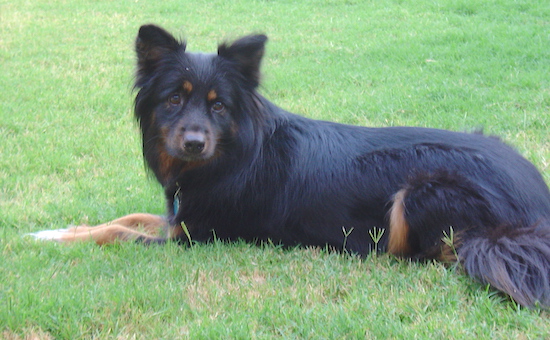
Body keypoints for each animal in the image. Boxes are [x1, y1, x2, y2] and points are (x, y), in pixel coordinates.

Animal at [31, 24, 550, 308]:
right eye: (174, 99)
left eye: (218, 106)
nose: (194, 143)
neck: (232, 155)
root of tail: (536, 202)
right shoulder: (182, 218)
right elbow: (128, 217)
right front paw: (59, 229)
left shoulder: (195, 239)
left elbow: (117, 231)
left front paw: (55, 238)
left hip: (420, 191)